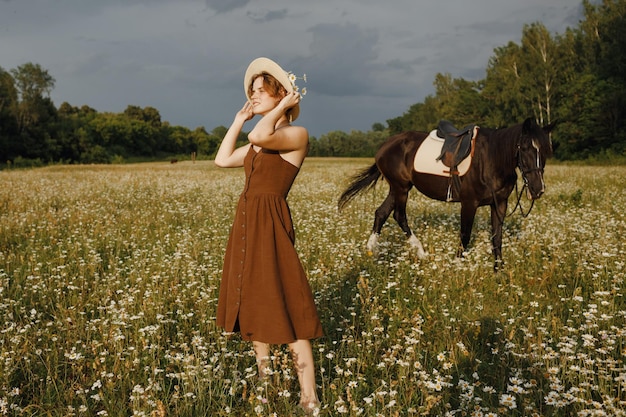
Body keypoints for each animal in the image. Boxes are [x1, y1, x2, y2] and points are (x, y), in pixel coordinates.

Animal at [336, 115, 552, 268]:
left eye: (545, 150)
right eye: (525, 148)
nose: (537, 189)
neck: (490, 160)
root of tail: (384, 146)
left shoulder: (499, 203)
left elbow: (497, 238)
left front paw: (499, 272)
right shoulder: (469, 203)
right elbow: (465, 235)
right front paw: (456, 266)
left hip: (398, 188)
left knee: (381, 213)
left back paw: (371, 250)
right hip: (401, 188)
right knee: (399, 215)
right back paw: (421, 252)